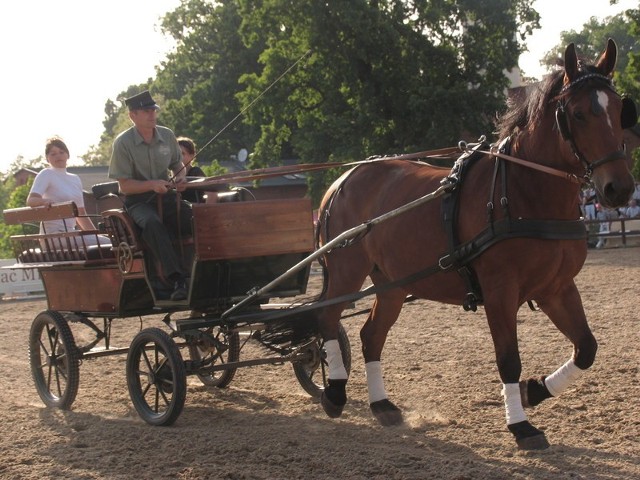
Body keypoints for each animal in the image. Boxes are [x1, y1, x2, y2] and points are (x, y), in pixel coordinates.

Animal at [314, 40, 636, 450]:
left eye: (618, 108)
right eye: (578, 114)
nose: (619, 189)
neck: (524, 192)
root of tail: (344, 180)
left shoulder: (556, 288)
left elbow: (586, 348)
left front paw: (534, 390)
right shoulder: (500, 291)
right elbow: (508, 359)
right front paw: (521, 425)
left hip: (392, 283)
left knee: (371, 335)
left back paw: (382, 405)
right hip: (346, 271)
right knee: (327, 318)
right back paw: (335, 393)